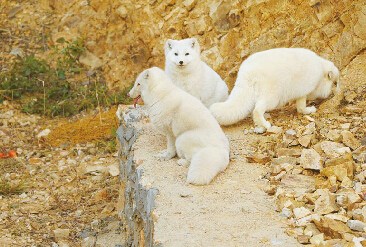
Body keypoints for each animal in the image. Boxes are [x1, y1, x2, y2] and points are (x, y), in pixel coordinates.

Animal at [210, 48, 342, 133]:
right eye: (334, 83)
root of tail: (247, 73)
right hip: (272, 97)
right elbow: (301, 107)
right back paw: (265, 125)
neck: (320, 69)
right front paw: (309, 110)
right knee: (257, 110)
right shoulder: (303, 90)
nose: (334, 93)